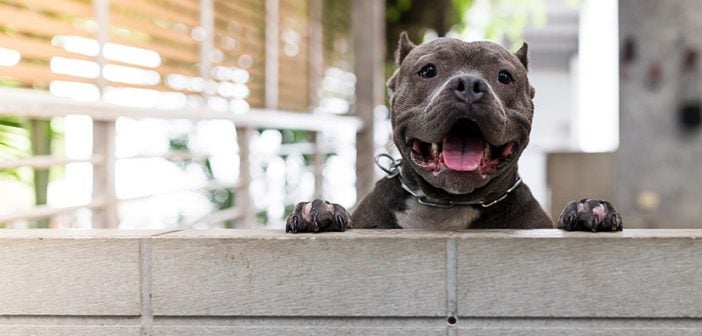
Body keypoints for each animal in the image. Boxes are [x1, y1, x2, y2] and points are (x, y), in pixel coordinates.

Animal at [284, 33, 624, 234]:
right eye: (428, 71)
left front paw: (588, 208)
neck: (446, 205)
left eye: (505, 77)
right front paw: (320, 210)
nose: (470, 84)